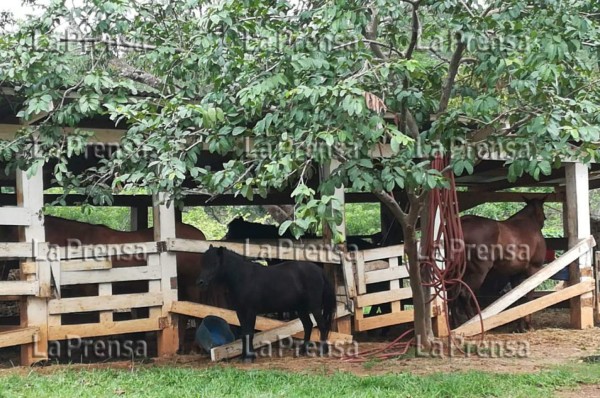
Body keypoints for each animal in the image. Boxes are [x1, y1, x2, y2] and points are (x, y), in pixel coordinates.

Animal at [197, 244, 338, 362]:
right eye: (202, 262)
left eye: (214, 263)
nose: (200, 283)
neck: (243, 277)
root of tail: (319, 271)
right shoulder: (240, 312)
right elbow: (244, 334)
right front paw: (244, 356)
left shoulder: (250, 311)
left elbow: (249, 333)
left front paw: (249, 357)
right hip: (301, 308)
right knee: (308, 325)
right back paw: (303, 350)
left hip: (314, 307)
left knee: (322, 326)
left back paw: (323, 350)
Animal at [452, 197, 548, 332]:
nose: (544, 219)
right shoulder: (533, 269)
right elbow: (528, 295)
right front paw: (528, 325)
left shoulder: (515, 274)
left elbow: (517, 296)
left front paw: (519, 326)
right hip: (477, 272)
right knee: (464, 294)